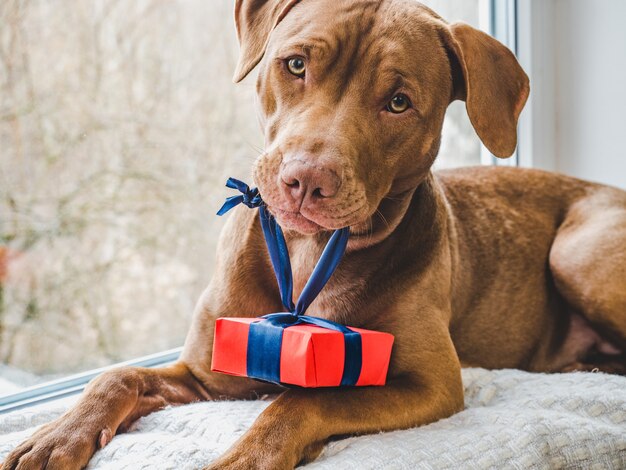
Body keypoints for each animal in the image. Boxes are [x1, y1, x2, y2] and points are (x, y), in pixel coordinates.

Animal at [2, 0, 620, 470]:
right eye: (295, 64)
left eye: (399, 101)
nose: (306, 180)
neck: (305, 253)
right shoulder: (210, 373)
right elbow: (116, 376)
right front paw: (56, 436)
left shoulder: (430, 384)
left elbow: (301, 403)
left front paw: (245, 458)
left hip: (574, 251)